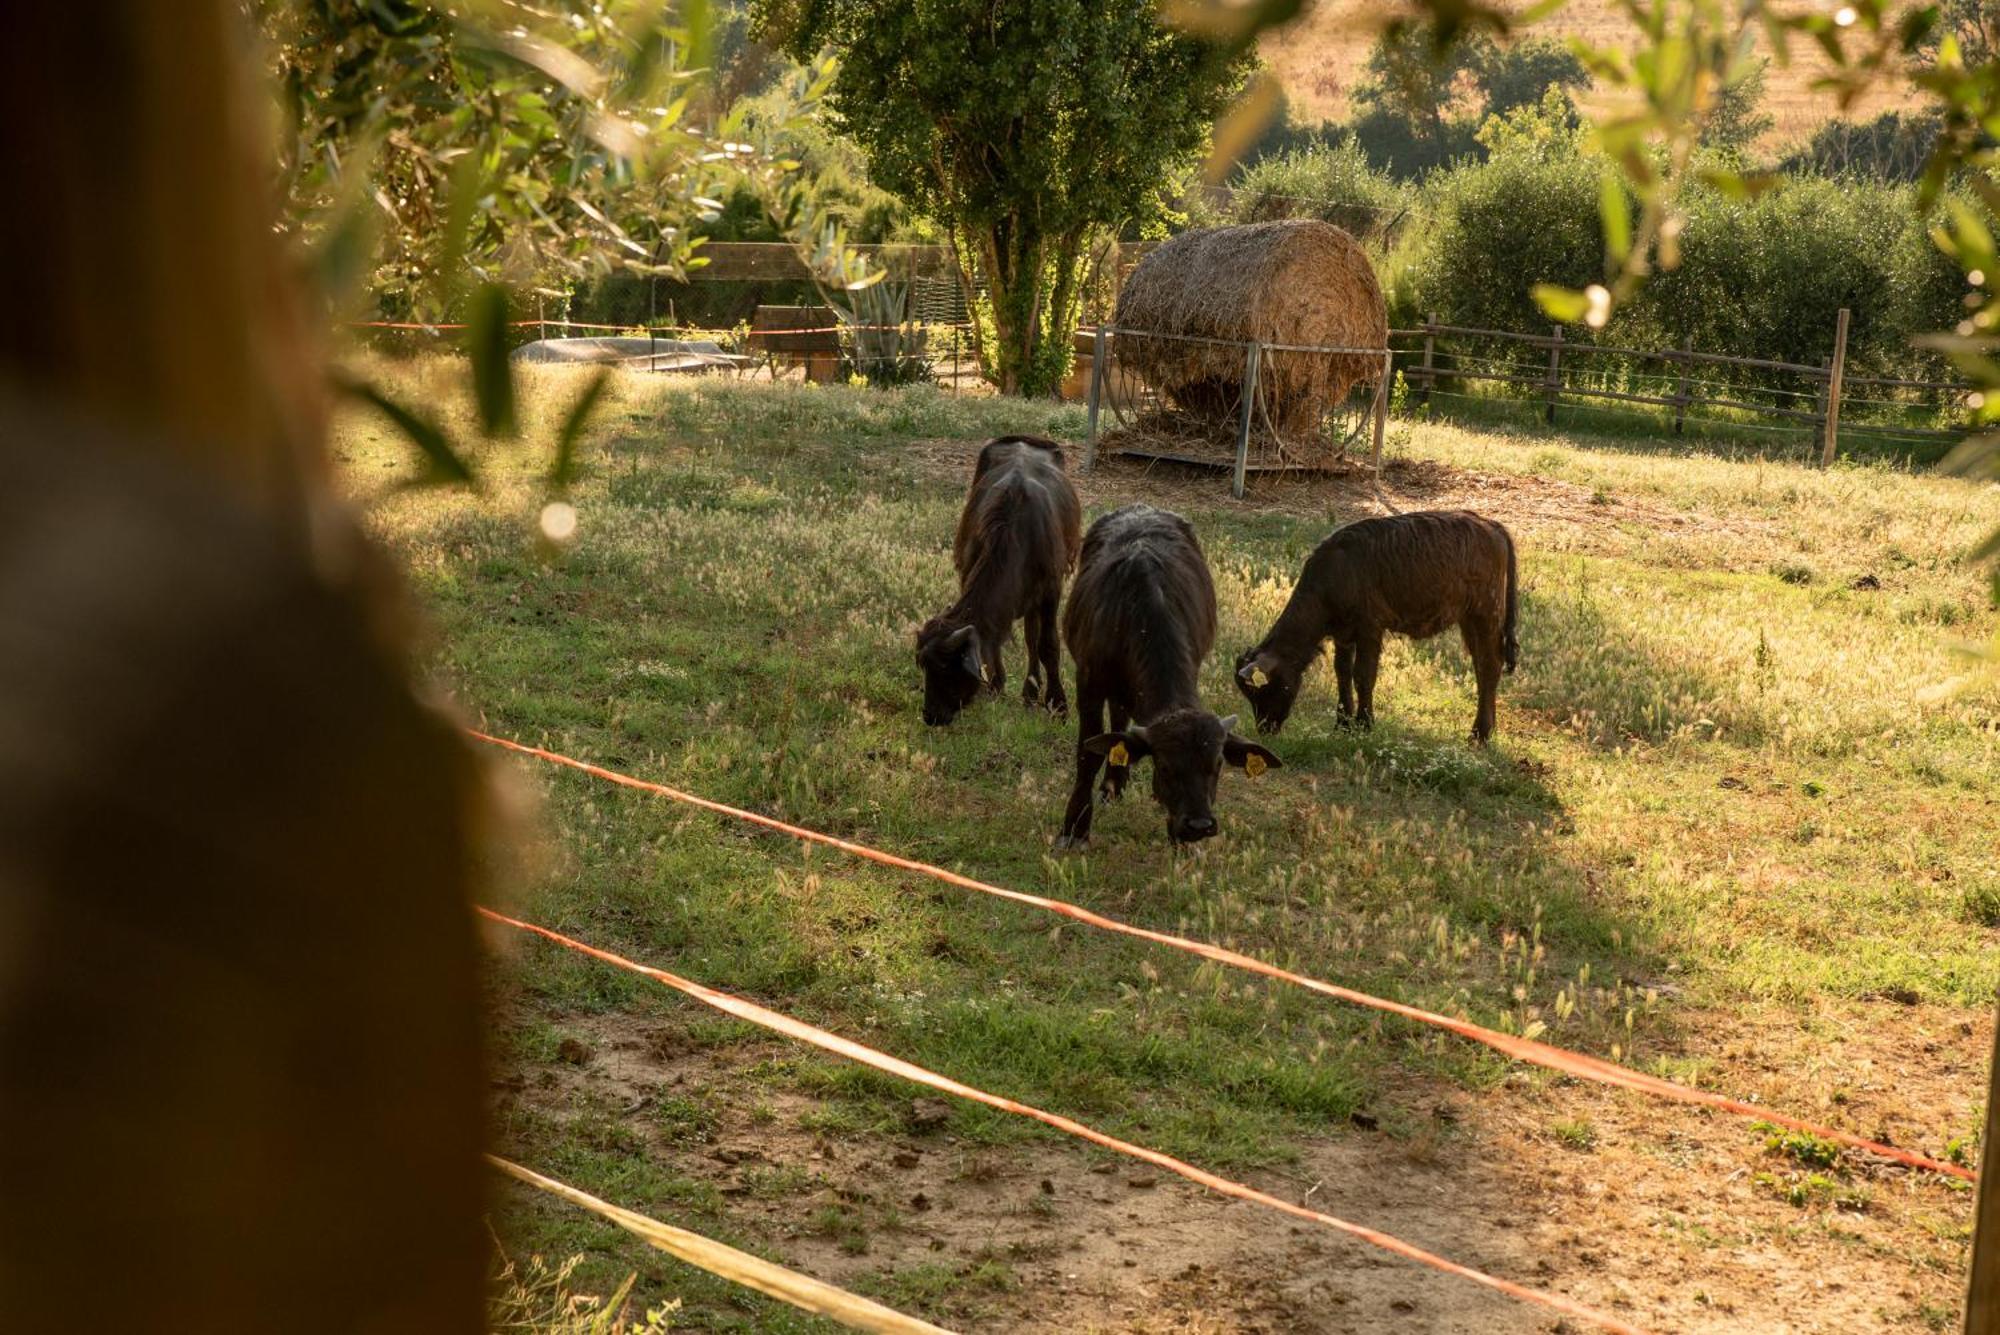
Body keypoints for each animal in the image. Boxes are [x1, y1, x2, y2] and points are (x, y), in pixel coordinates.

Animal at [916, 435, 1080, 731]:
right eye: (925, 667)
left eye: (947, 670)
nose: (931, 716)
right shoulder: (969, 572)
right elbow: (997, 639)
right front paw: (996, 684)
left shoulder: (1051, 590)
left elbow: (1048, 645)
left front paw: (1058, 705)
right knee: (1029, 637)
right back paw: (1029, 693)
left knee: (1033, 639)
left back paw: (1032, 693)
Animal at [1056, 499, 1272, 843]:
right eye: (1167, 767)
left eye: (1217, 765)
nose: (1199, 825)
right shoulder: (1088, 682)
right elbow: (1088, 753)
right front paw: (1075, 827)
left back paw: (1114, 786)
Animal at [1232, 507, 1512, 739]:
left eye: (1264, 690)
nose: (1265, 728)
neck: (1337, 574)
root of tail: (1491, 525)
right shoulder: (1343, 635)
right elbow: (1342, 673)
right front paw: (1342, 723)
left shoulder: (1370, 630)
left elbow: (1363, 675)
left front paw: (1364, 723)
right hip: (1468, 620)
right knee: (1482, 666)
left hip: (1485, 615)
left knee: (1490, 665)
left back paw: (1479, 734)